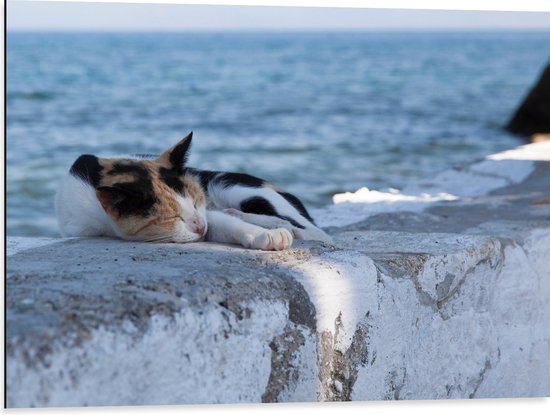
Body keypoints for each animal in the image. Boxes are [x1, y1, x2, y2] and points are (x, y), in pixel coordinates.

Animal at [56, 132, 334, 252]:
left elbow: (220, 221)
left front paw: (266, 235)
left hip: (232, 186)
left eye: (197, 201)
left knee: (312, 230)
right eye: (172, 217)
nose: (200, 226)